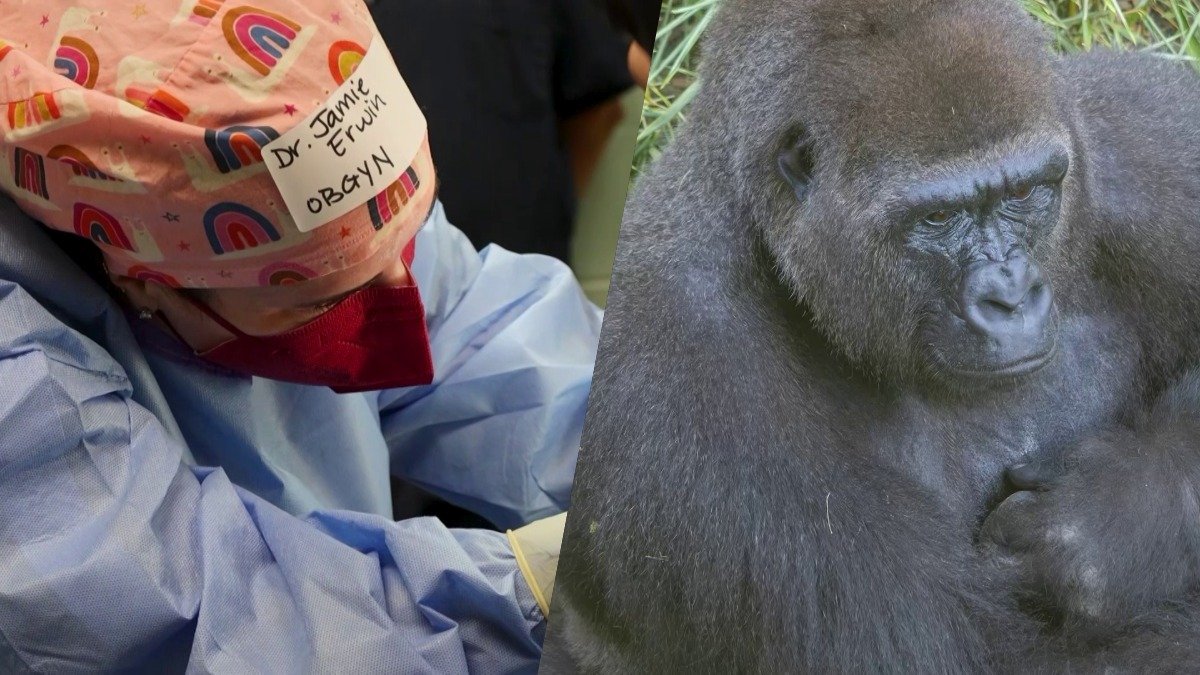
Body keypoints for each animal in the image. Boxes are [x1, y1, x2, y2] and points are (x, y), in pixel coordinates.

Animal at [543, 0, 1200, 671]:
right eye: (938, 217)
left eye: (1024, 192)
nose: (1011, 297)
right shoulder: (665, 378)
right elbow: (972, 654)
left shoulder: (1147, 142)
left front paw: (1119, 512)